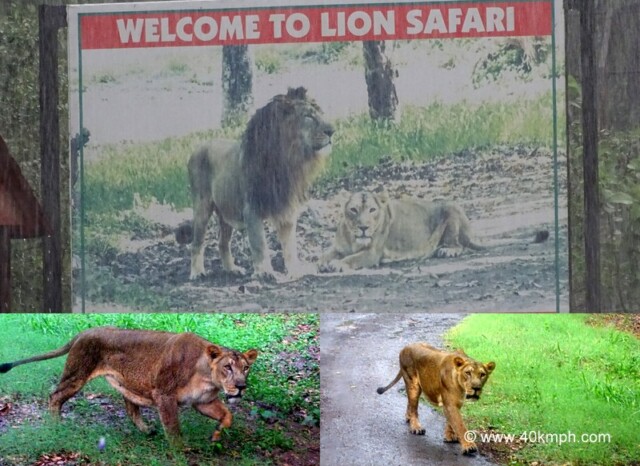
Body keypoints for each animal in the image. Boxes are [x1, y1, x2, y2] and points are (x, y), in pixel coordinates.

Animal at [0, 327, 258, 447]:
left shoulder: (203, 401)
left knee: (130, 407)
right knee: (54, 395)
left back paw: (147, 430)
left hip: (127, 383)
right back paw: (55, 426)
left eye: (245, 367)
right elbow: (173, 429)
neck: (207, 377)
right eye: (227, 367)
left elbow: (228, 415)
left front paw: (216, 435)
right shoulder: (163, 394)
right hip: (77, 374)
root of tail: (84, 331)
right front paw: (180, 450)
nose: (241, 386)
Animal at [181, 87, 334, 280]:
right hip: (202, 207)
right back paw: (197, 272)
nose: (332, 131)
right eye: (308, 116)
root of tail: (198, 146)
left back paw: (232, 269)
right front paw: (265, 272)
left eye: (321, 114)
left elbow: (290, 245)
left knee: (222, 242)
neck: (287, 160)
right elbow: (259, 244)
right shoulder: (251, 209)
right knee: (197, 243)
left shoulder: (287, 208)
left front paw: (294, 270)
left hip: (226, 213)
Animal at [321, 189, 483, 271]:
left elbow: (351, 258)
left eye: (372, 210)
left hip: (451, 206)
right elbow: (324, 256)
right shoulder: (338, 247)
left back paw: (447, 250)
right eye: (353, 210)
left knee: (459, 245)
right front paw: (322, 264)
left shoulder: (372, 254)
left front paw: (337, 264)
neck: (353, 239)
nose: (363, 227)